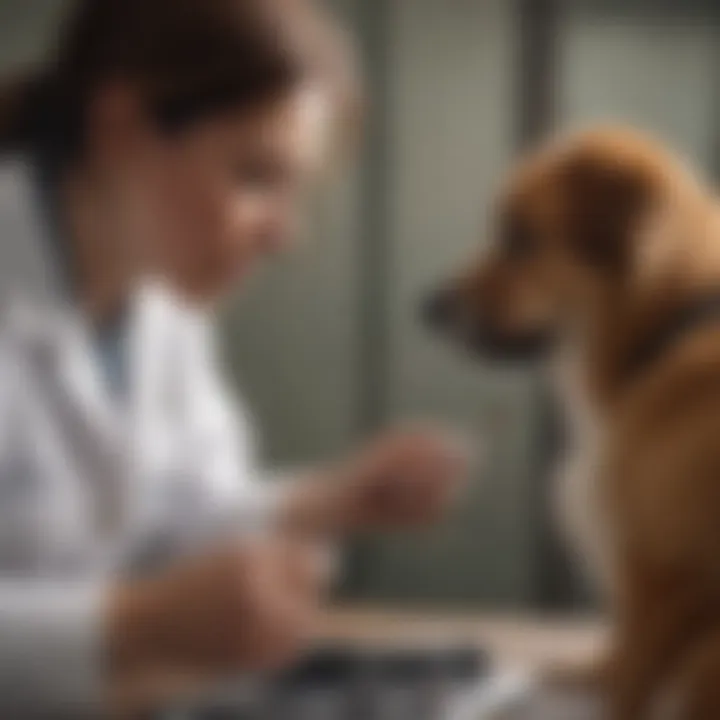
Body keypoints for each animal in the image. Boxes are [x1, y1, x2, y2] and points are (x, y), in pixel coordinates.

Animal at [424, 126, 720, 716]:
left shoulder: (663, 578)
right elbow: (617, 664)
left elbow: (628, 690)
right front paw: (584, 674)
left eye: (520, 238)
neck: (660, 334)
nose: (428, 307)